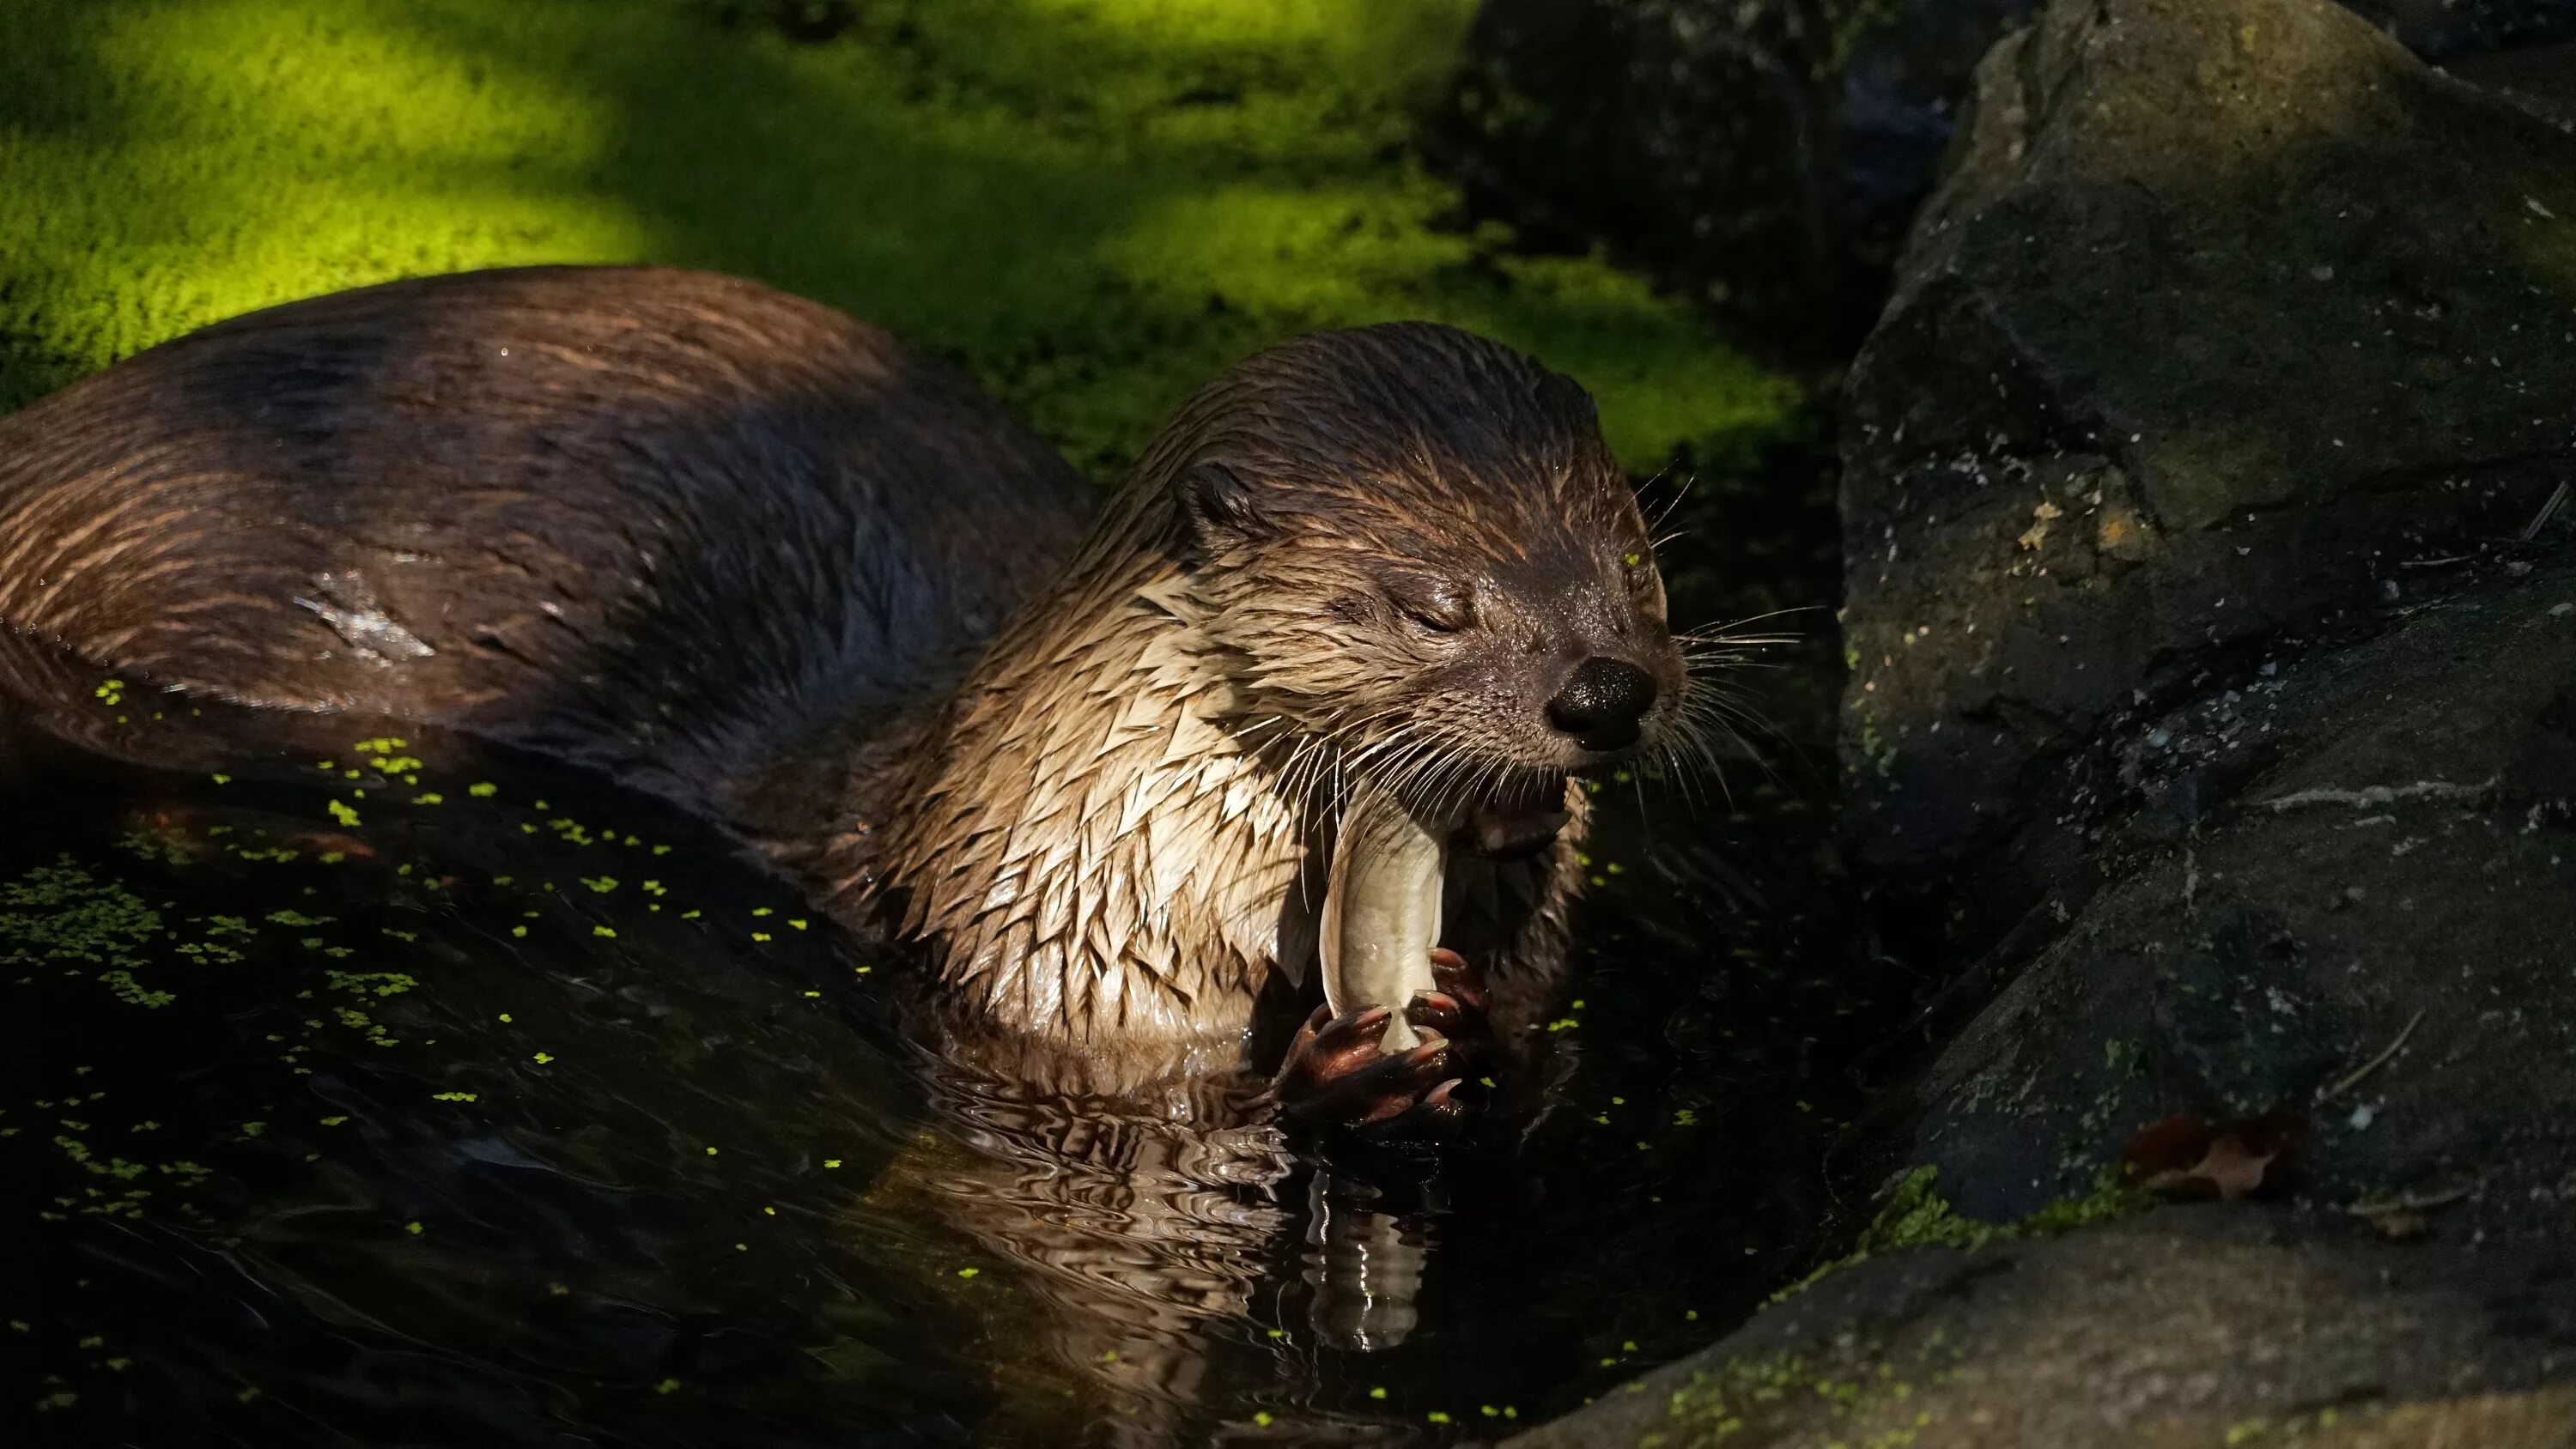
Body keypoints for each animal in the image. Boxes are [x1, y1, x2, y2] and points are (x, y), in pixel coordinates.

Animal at [0, 269, 1700, 1132]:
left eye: (1632, 552)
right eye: (1435, 601)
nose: (1602, 690)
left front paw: (1469, 1012)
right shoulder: (1054, 950)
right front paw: (1342, 1069)